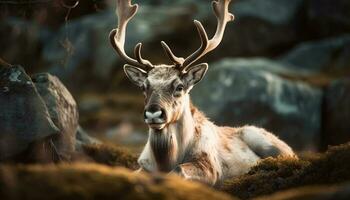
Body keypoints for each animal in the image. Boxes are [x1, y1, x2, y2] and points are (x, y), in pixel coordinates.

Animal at [109, 0, 296, 186]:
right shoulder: (143, 165)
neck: (165, 161)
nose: (153, 113)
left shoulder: (211, 166)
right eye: (144, 87)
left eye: (179, 87)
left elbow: (179, 170)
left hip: (267, 141)